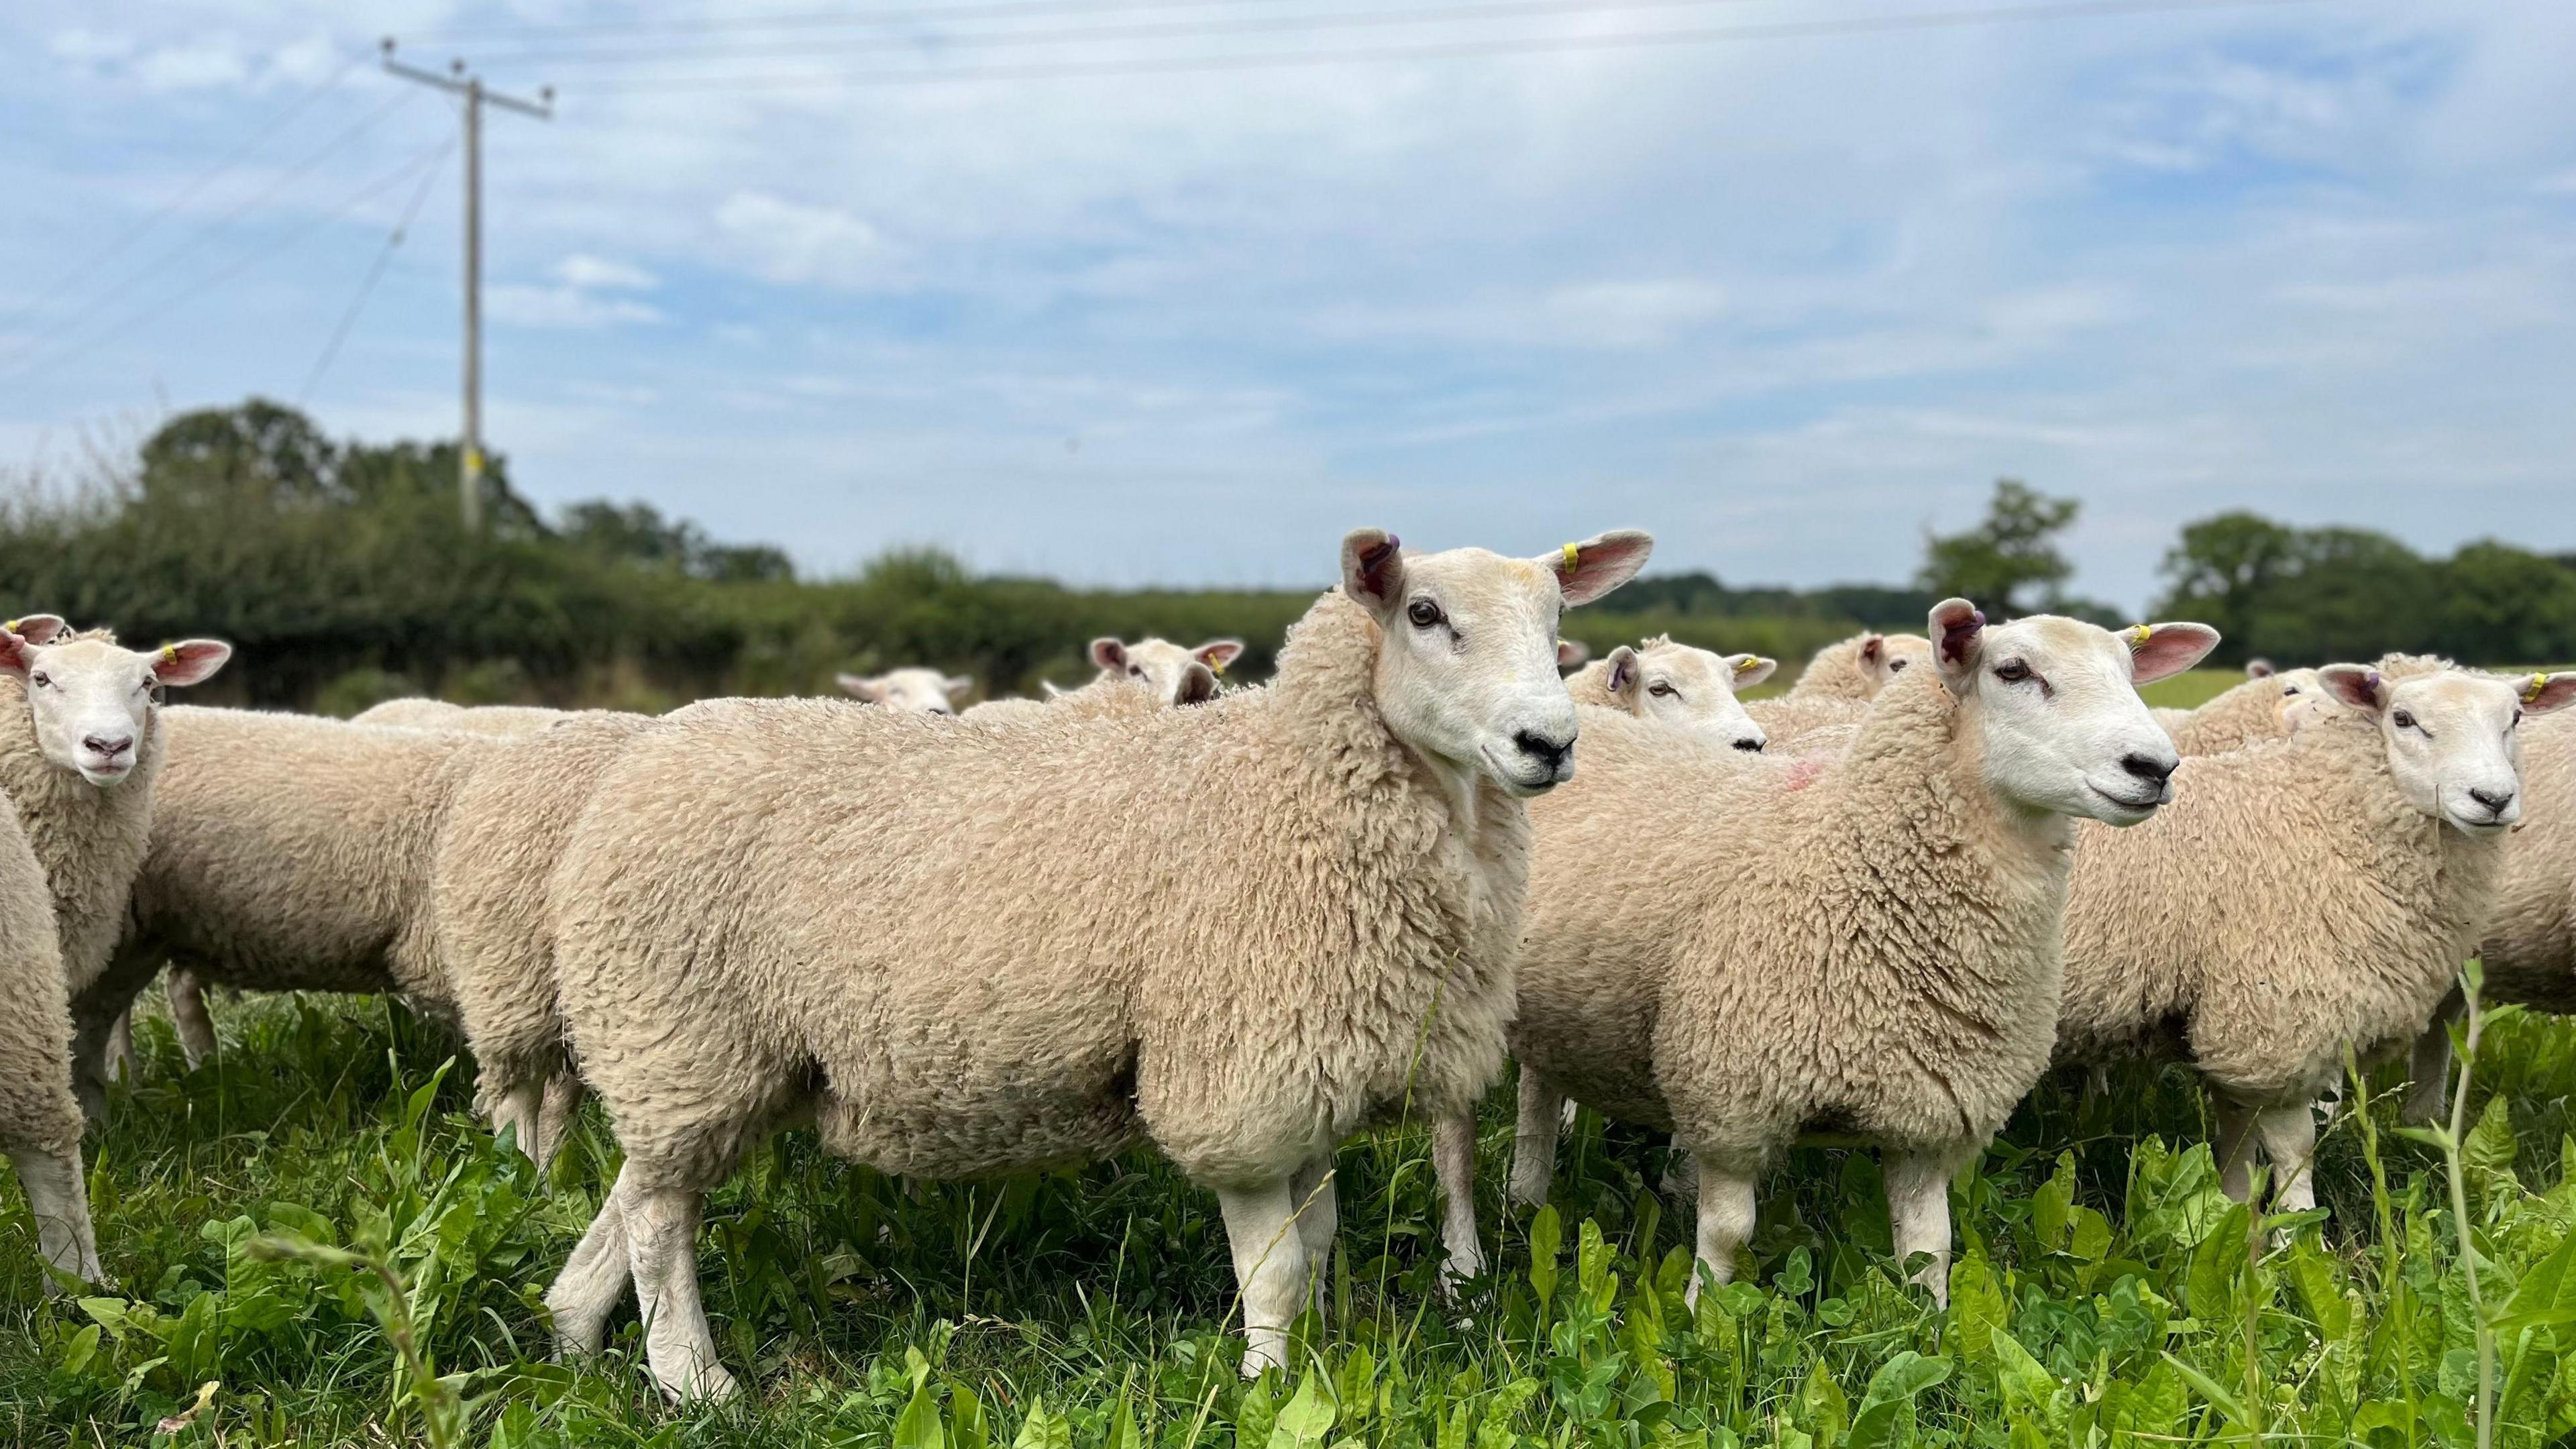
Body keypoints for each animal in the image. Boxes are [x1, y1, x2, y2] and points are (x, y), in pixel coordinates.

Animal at [1442, 603, 2225, 1289]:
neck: (1853, 856)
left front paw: (1929, 1330)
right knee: (1509, 1111)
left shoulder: (1930, 1117)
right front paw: (1703, 1323)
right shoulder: (1735, 1099)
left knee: (1543, 1081)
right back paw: (1506, 1216)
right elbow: (1726, 1235)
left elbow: (1931, 1247)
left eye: (2130, 671)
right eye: (2012, 670)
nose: (2154, 766)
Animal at [2040, 659, 2565, 1212]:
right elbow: (2295, 1151)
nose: (2494, 799)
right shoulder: (2276, 1024)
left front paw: (2234, 1211)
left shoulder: (2231, 1021)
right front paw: (2296, 1228)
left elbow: (2238, 1136)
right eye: (2403, 719)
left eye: (2515, 718)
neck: (2315, 813)